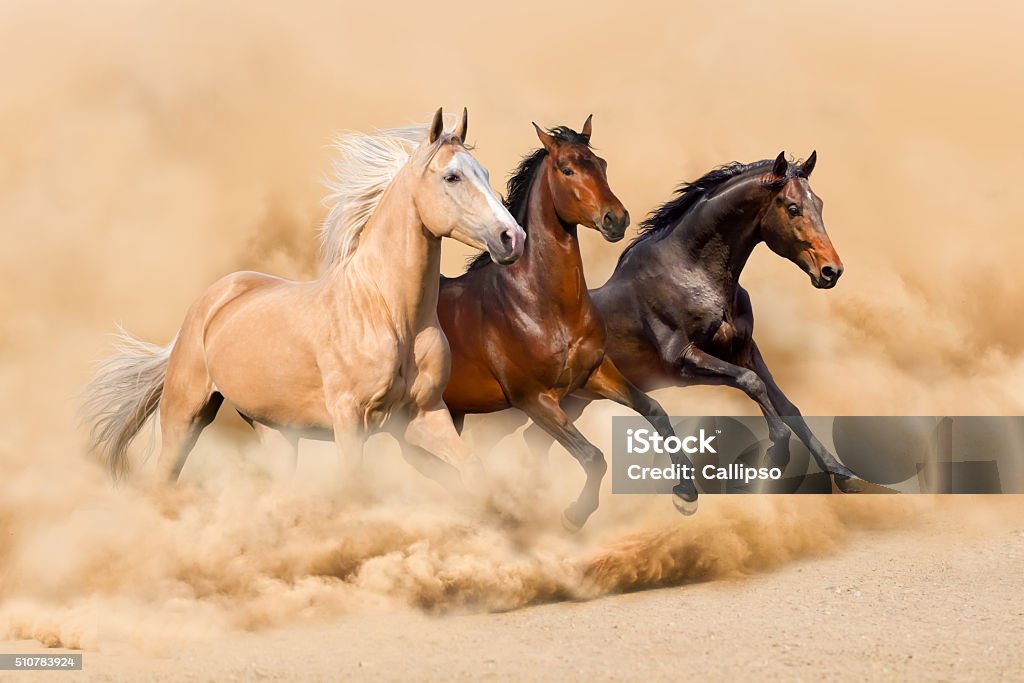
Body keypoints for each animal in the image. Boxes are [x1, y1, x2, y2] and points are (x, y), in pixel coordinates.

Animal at [83, 109, 524, 483]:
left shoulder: (425, 415)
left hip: (276, 431)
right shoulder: (350, 419)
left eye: (484, 173)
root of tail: (211, 301)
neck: (389, 313)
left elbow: (473, 468)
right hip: (185, 415)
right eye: (452, 177)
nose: (512, 237)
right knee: (165, 477)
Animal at [403, 120, 700, 532]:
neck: (541, 305)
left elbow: (654, 409)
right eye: (567, 169)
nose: (616, 218)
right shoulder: (534, 400)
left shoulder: (593, 374)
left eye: (601, 164)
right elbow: (592, 456)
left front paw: (686, 495)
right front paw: (574, 515)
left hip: (454, 413)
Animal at [524, 150, 868, 491]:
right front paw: (777, 454)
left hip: (573, 401)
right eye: (793, 208)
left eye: (819, 204)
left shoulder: (744, 351)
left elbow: (787, 406)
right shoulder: (684, 361)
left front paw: (843, 473)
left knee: (535, 438)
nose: (831, 271)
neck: (694, 275)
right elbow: (751, 383)